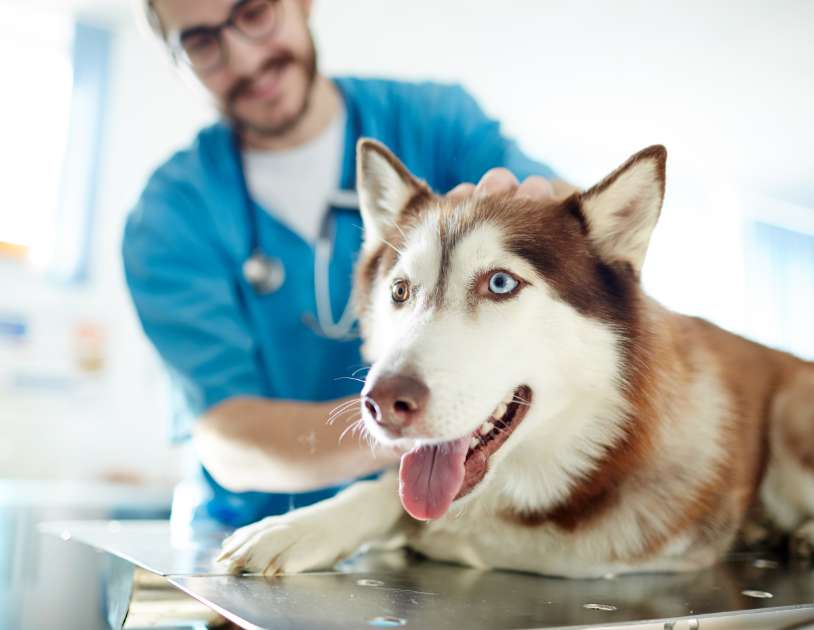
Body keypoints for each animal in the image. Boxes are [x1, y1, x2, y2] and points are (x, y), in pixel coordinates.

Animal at [218, 141, 814, 580]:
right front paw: (300, 526)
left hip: (790, 412)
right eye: (400, 291)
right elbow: (390, 491)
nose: (382, 403)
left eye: (500, 283)